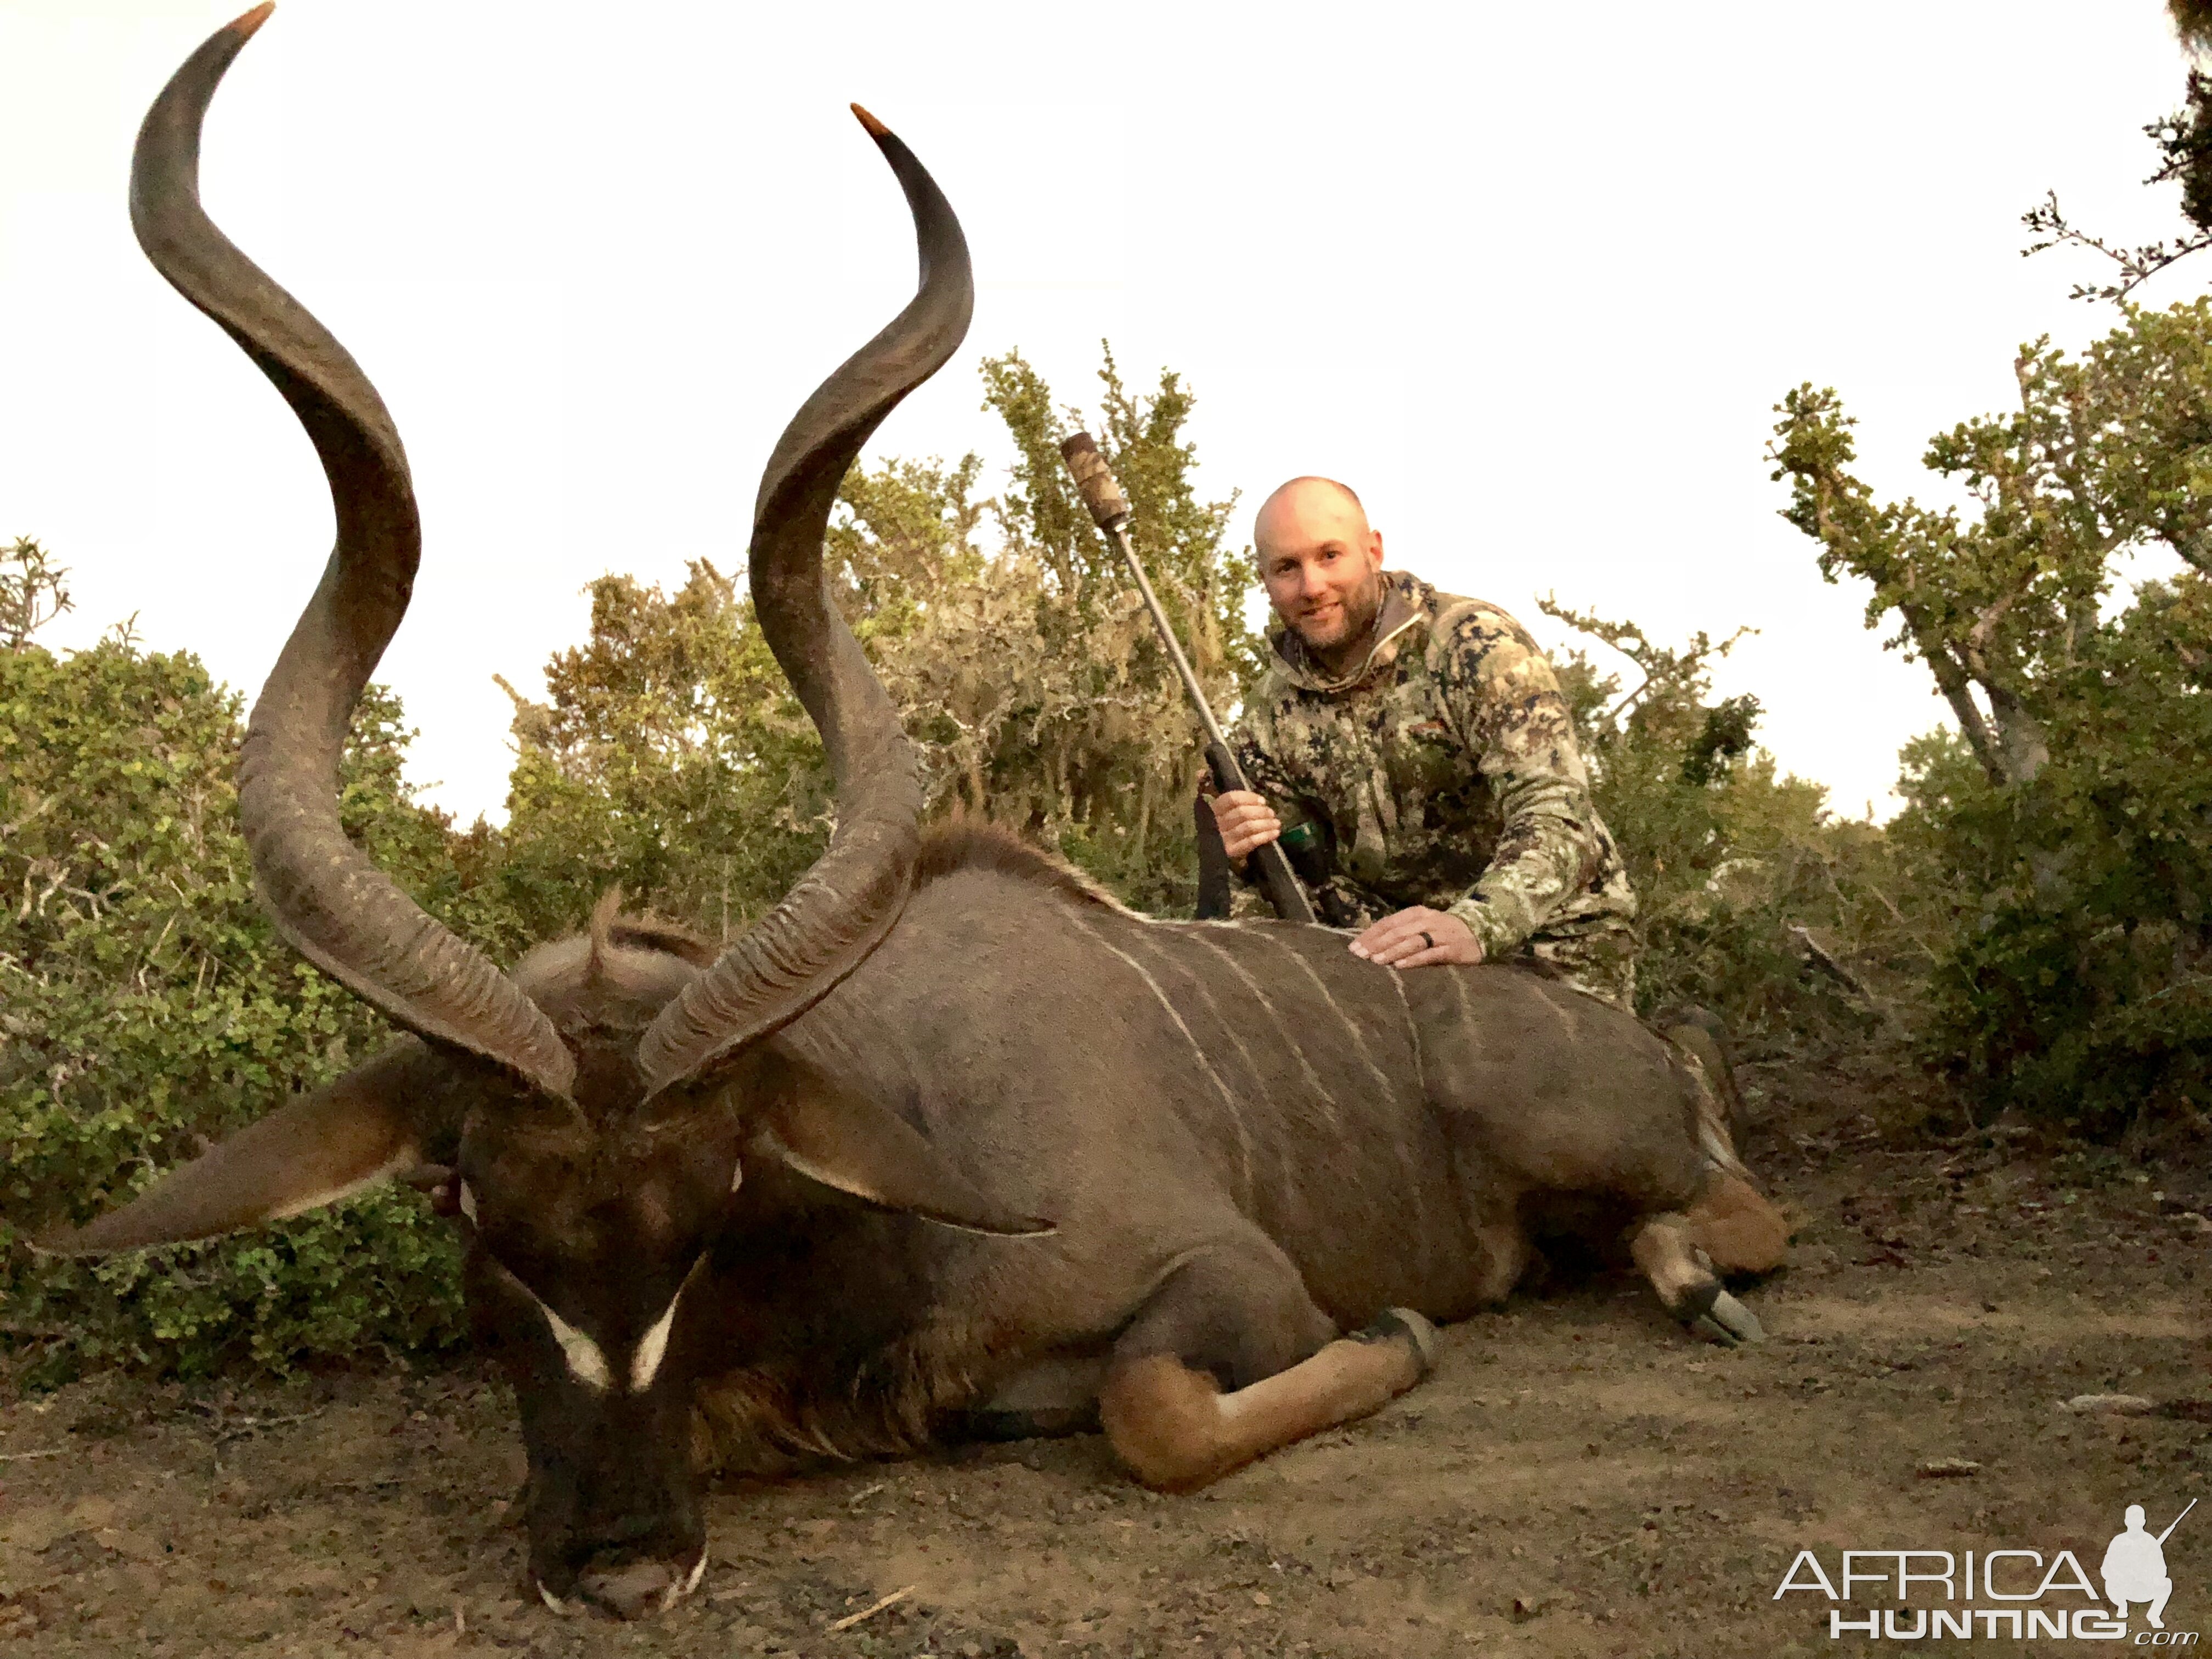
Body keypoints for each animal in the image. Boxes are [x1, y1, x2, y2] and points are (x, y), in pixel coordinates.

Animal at [43, 6, 1787, 1628]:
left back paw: (1698, 1277)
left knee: (1738, 1204)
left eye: (718, 1203)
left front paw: (1408, 1330)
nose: (623, 1570)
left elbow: (1158, 1411)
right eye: (472, 1209)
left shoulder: (1233, 1278)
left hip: (1603, 1137)